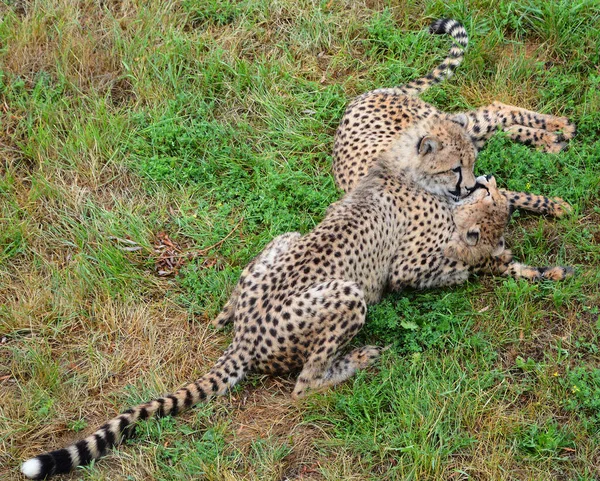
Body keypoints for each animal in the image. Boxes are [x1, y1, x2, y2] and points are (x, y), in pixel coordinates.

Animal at [19, 117, 572, 480]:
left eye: (472, 163)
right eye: (456, 166)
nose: (474, 182)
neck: (401, 172)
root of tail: (246, 336)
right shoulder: (408, 268)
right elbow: (460, 265)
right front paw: (503, 250)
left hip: (284, 240)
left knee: (231, 309)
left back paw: (223, 314)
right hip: (349, 296)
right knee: (304, 386)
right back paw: (357, 360)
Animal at [332, 18, 576, 218]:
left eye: (471, 164)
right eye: (455, 168)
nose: (469, 185)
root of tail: (366, 95)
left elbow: (509, 194)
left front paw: (554, 205)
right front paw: (552, 204)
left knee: (498, 111)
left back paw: (559, 128)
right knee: (499, 126)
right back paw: (552, 140)